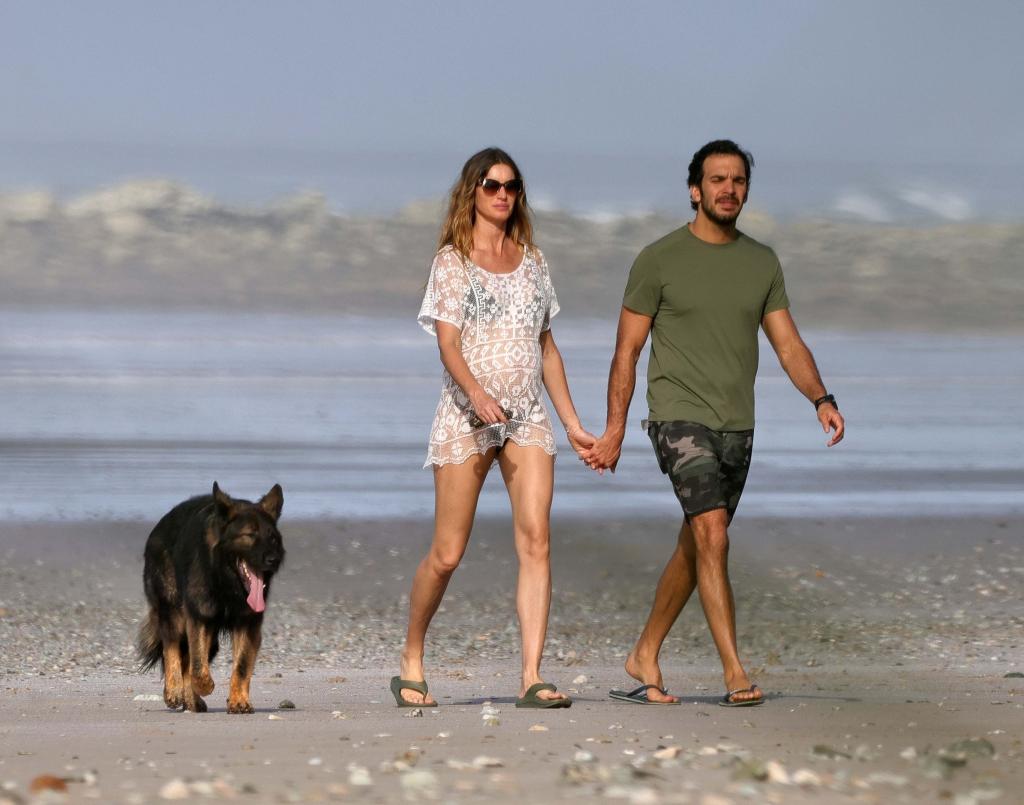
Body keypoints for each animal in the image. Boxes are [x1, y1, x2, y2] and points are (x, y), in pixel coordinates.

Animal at [137, 479, 284, 712]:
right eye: (250, 535)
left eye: (273, 538)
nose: (273, 559)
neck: (225, 583)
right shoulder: (198, 619)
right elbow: (197, 666)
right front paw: (203, 686)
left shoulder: (247, 623)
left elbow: (241, 665)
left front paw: (239, 700)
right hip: (173, 614)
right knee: (172, 649)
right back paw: (173, 691)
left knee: (187, 659)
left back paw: (192, 700)